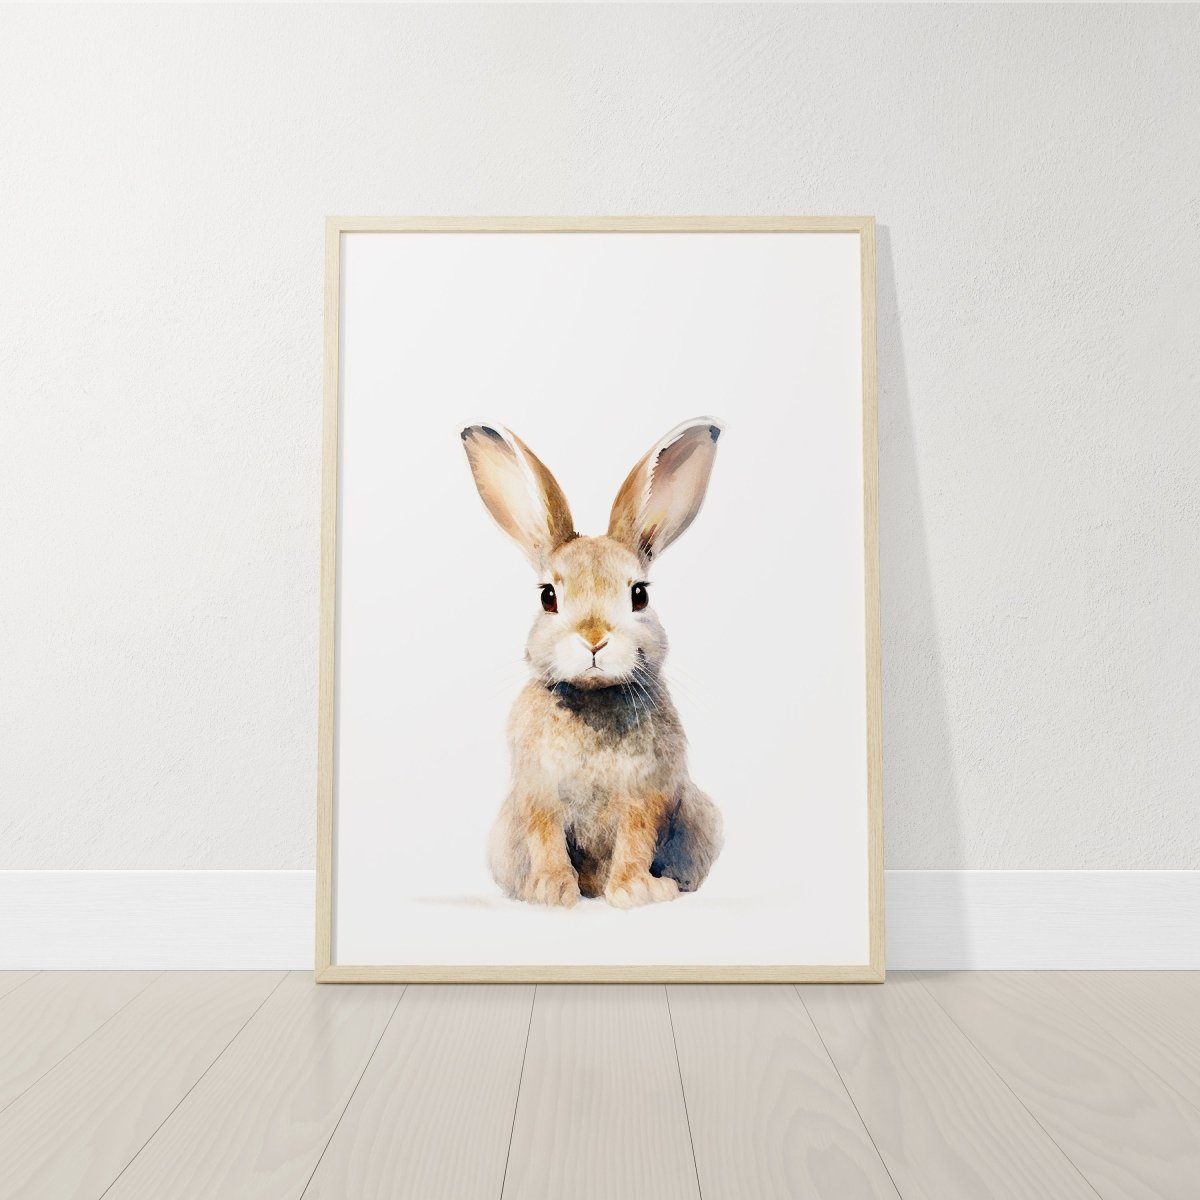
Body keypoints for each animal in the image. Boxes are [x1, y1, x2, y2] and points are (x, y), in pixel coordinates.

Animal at [460, 418, 724, 908]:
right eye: (548, 596)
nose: (594, 639)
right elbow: (546, 839)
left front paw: (634, 891)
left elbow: (636, 840)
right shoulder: (539, 795)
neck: (593, 699)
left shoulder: (646, 795)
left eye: (639, 595)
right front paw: (550, 891)